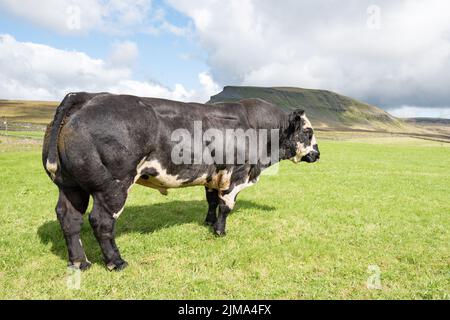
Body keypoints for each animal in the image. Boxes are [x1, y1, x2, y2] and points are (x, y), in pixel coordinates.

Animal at [41, 92, 316, 270]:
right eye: (308, 131)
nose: (317, 154)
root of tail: (87, 96)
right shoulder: (237, 175)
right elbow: (226, 205)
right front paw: (220, 231)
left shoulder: (212, 175)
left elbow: (211, 201)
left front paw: (209, 222)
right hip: (112, 186)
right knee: (101, 221)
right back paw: (116, 262)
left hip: (70, 186)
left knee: (69, 218)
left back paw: (80, 262)